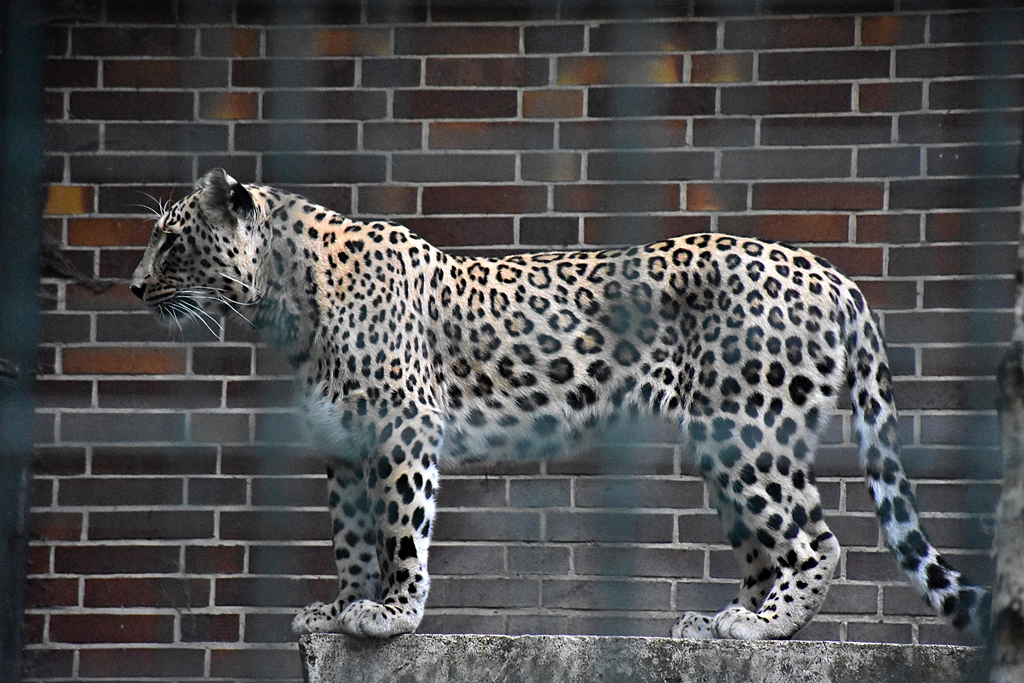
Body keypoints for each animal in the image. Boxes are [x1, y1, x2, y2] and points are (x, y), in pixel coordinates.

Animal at [131, 168, 988, 640]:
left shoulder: (404, 430)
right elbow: (348, 538)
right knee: (764, 545)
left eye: (170, 241)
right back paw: (716, 626)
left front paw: (392, 614)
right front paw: (339, 607)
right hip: (730, 440)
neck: (283, 303)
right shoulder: (344, 446)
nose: (134, 287)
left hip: (746, 429)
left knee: (815, 539)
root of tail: (833, 273)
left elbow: (400, 533)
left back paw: (761, 625)